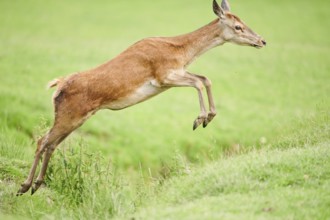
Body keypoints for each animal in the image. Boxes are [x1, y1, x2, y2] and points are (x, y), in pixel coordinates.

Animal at [16, 0, 266, 196]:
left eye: (244, 22)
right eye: (238, 26)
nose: (262, 41)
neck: (181, 52)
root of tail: (57, 86)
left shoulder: (173, 75)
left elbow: (205, 78)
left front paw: (208, 117)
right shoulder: (163, 76)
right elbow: (199, 81)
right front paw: (200, 119)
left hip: (75, 118)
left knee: (51, 143)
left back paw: (36, 185)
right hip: (70, 114)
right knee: (42, 140)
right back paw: (25, 186)